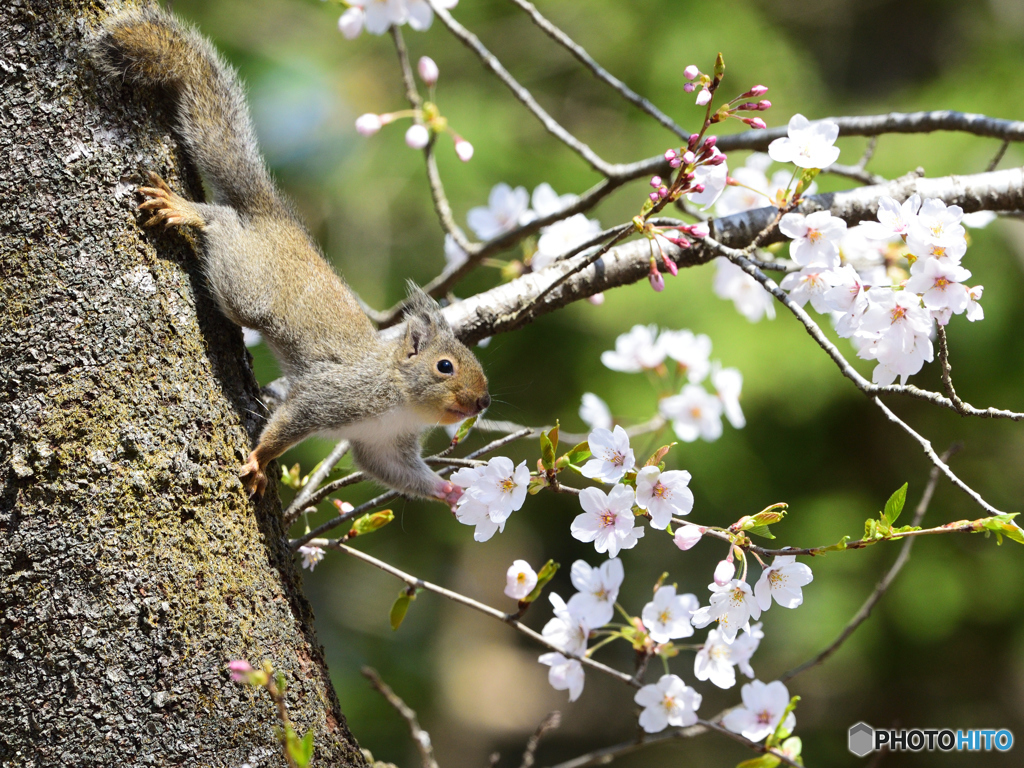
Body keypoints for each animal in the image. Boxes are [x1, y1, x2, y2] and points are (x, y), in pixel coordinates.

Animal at [94, 9, 489, 507]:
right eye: (445, 366)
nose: (483, 401)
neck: (399, 396)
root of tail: (274, 215)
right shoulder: (331, 396)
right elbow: (287, 424)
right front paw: (259, 461)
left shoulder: (383, 443)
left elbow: (394, 471)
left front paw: (451, 491)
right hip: (245, 285)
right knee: (223, 224)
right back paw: (189, 210)